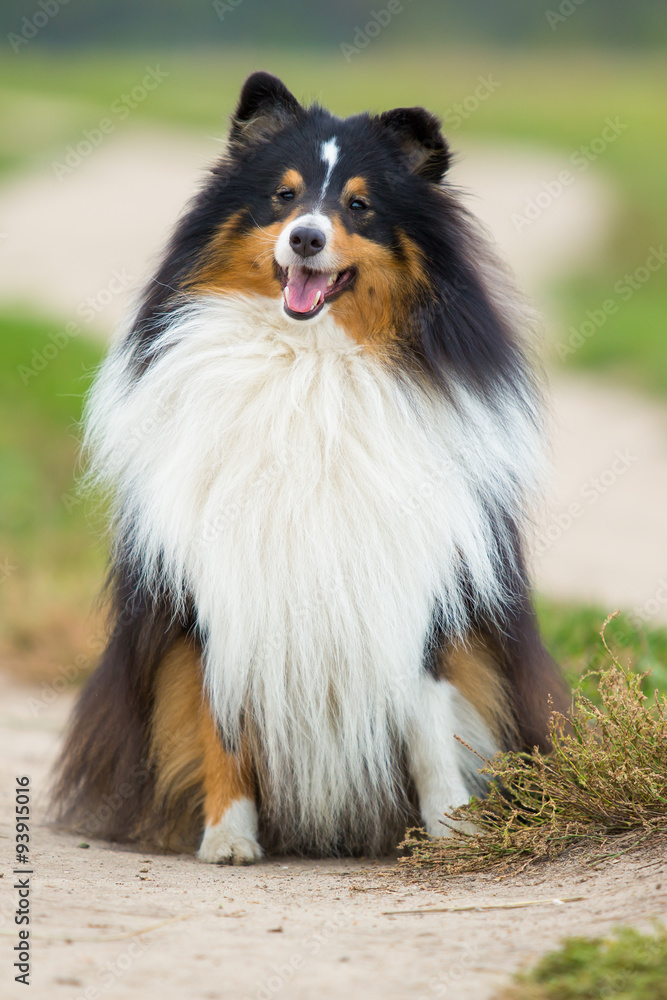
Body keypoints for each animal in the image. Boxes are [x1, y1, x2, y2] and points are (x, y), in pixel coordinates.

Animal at [52, 74, 568, 864]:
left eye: (359, 205)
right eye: (283, 196)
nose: (305, 238)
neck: (309, 362)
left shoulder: (415, 586)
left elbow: (428, 719)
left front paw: (453, 831)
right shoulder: (220, 586)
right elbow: (221, 722)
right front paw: (228, 837)